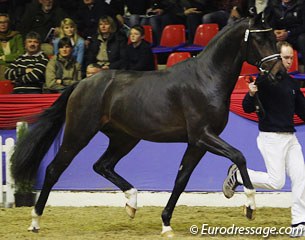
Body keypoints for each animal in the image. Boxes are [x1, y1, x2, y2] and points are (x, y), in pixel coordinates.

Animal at [11, 14, 282, 236]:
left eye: (274, 37)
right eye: (261, 39)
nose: (279, 73)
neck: (206, 79)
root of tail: (82, 83)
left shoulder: (197, 143)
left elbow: (181, 179)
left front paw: (166, 224)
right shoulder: (203, 135)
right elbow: (239, 156)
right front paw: (250, 206)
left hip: (125, 138)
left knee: (102, 165)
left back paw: (132, 203)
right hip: (79, 133)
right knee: (54, 169)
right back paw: (34, 222)